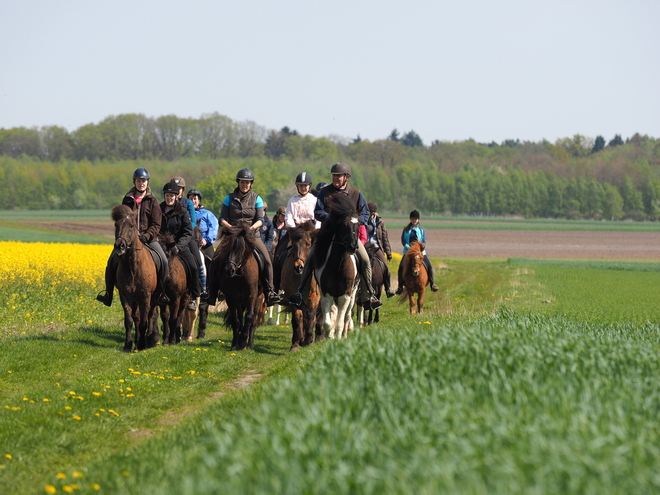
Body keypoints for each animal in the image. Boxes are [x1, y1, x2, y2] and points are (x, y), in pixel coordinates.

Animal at [111, 205, 160, 352]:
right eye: (116, 225)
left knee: (152, 314)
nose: (120, 245)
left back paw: (151, 339)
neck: (132, 266)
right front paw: (128, 345)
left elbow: (144, 322)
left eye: (132, 225)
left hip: (154, 297)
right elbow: (129, 321)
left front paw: (143, 344)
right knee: (138, 317)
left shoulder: (145, 296)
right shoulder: (125, 295)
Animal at [276, 221, 322, 352]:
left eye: (308, 244)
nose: (299, 267)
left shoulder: (314, 298)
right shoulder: (292, 297)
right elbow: (297, 318)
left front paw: (308, 340)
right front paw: (296, 343)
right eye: (293, 245)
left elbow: (311, 316)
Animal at [312, 192, 358, 340]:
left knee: (347, 316)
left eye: (358, 224)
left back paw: (344, 334)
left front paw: (338, 339)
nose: (353, 246)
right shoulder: (326, 294)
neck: (338, 266)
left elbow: (340, 321)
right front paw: (330, 338)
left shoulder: (345, 295)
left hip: (353, 293)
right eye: (343, 224)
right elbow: (327, 322)